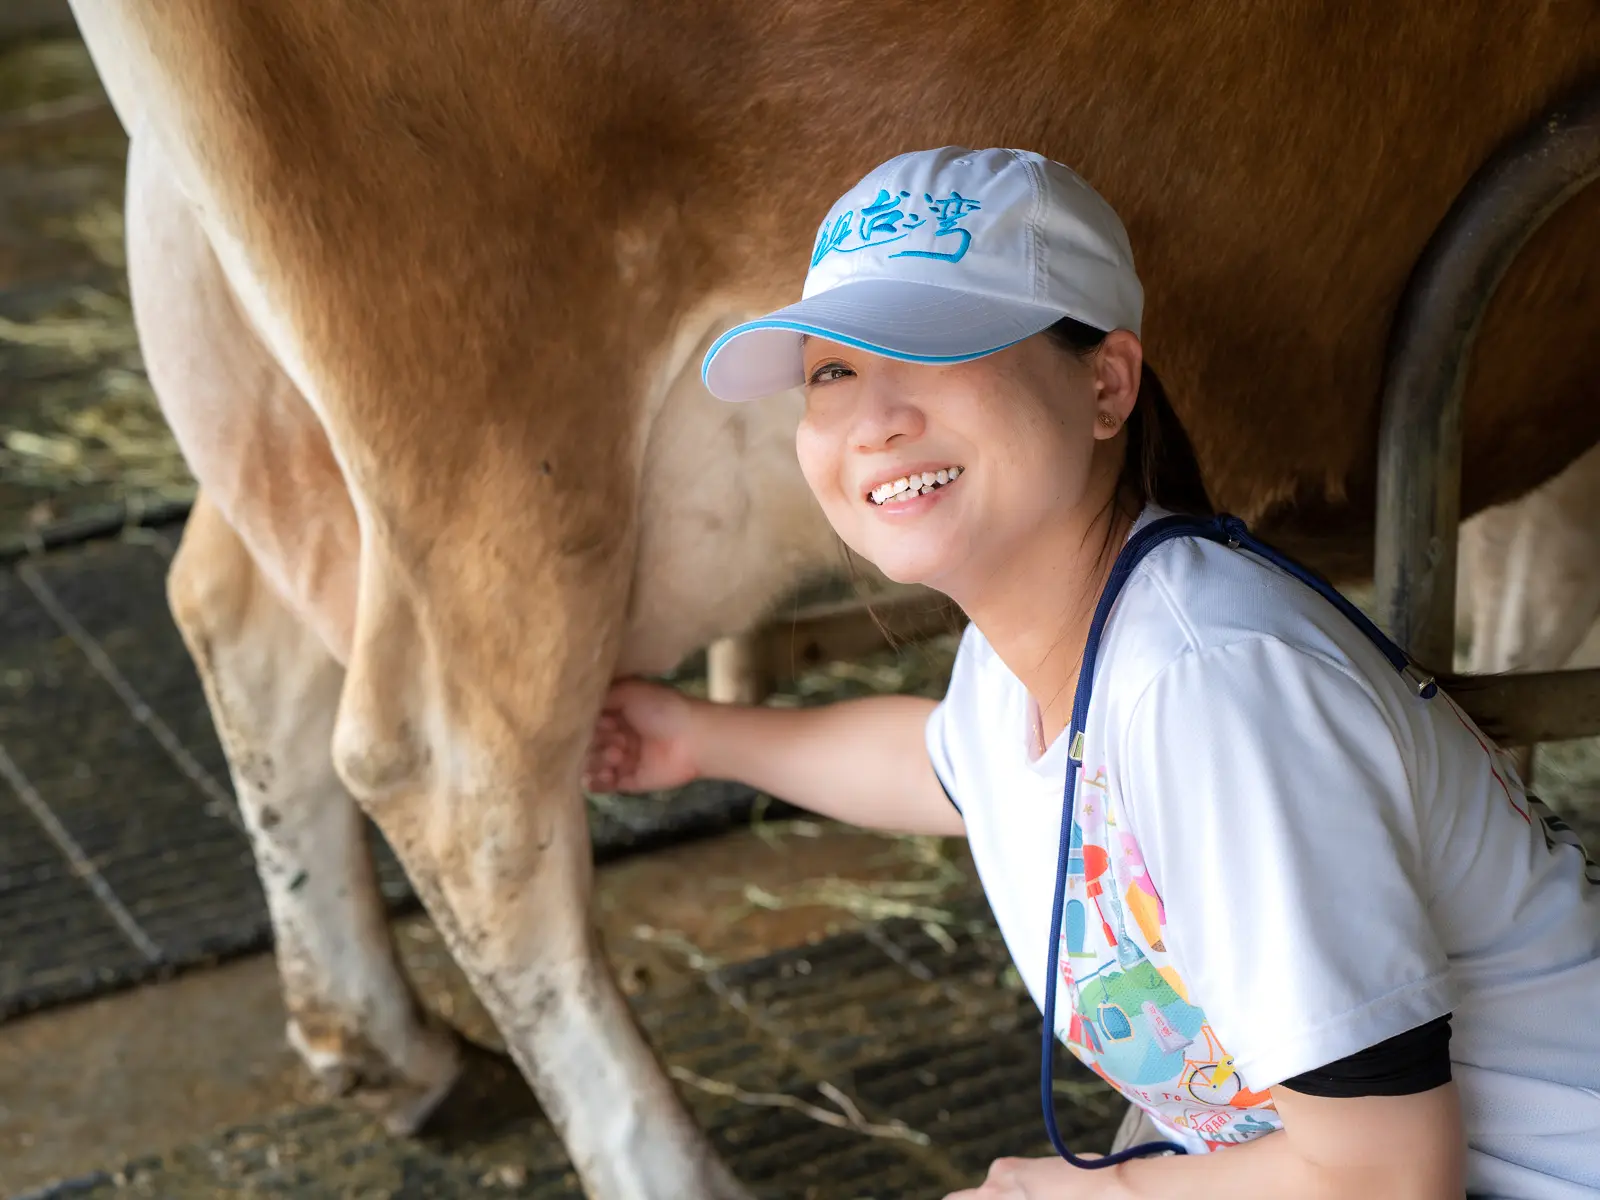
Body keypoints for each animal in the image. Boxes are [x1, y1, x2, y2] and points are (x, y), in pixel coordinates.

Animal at [56, 4, 1593, 1196]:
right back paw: (661, 1164)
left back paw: (390, 1049)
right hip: (492, 413)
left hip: (247, 351)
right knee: (453, 775)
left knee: (237, 619)